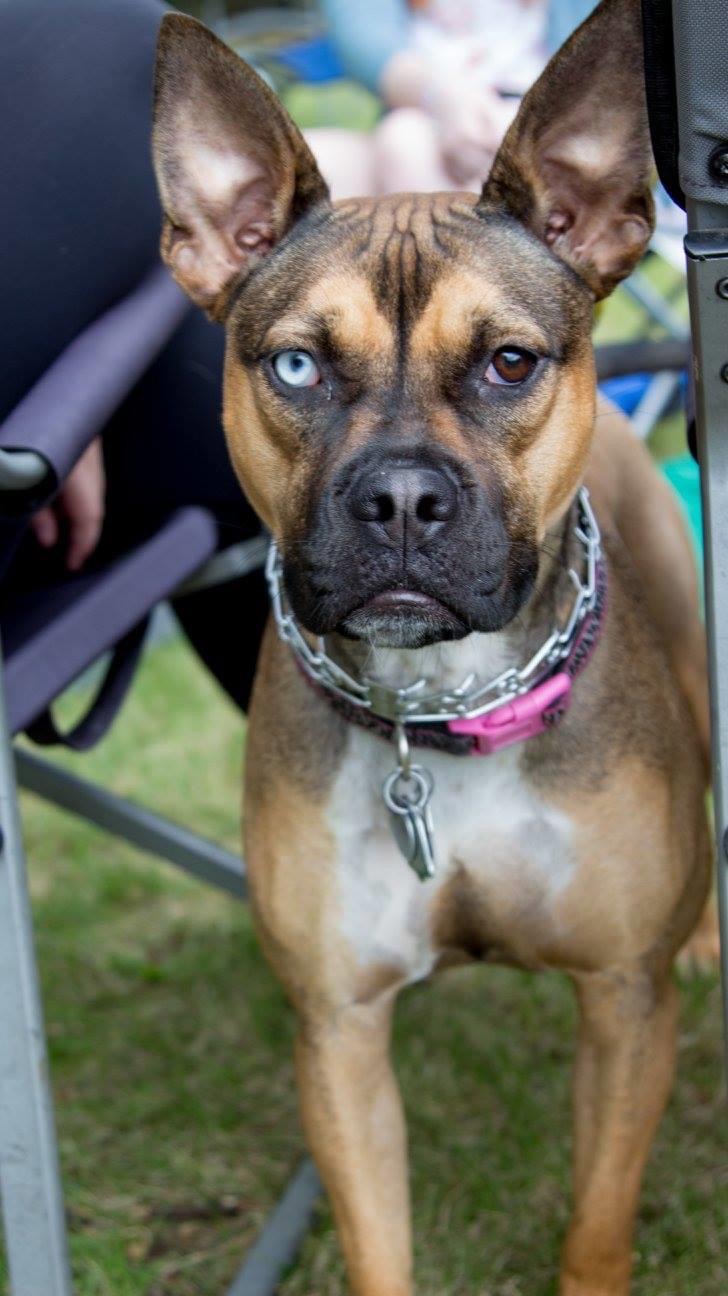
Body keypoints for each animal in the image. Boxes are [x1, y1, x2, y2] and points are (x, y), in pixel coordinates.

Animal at [152, 1, 715, 1290]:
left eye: (508, 361)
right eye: (296, 365)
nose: (400, 500)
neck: (440, 710)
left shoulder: (622, 1006)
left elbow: (594, 1222)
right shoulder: (339, 1032)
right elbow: (378, 1244)